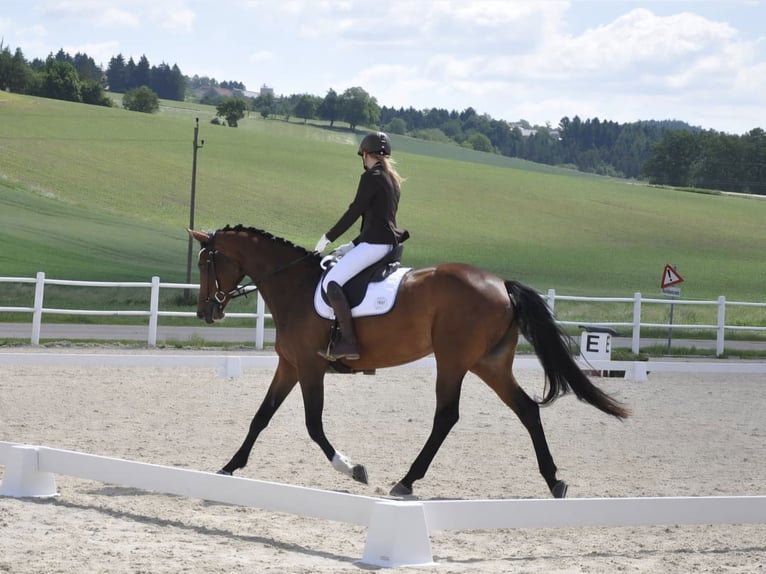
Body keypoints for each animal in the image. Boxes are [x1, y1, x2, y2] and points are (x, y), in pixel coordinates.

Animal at [188, 224, 629, 498]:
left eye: (206, 262)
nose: (206, 312)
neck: (294, 286)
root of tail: (501, 284)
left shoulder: (311, 368)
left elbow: (313, 425)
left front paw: (353, 469)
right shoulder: (290, 366)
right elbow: (261, 416)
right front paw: (229, 467)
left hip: (453, 360)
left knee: (447, 416)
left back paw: (406, 481)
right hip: (489, 364)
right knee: (527, 411)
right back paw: (554, 481)